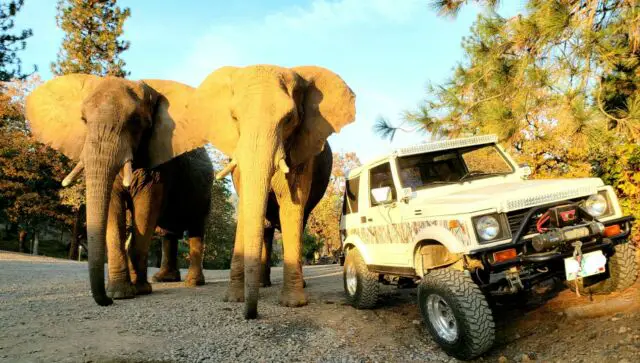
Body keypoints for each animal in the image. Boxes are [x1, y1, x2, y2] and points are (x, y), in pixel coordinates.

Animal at [26, 75, 208, 306]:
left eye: (136, 121)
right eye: (83, 119)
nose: (106, 301)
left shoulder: (158, 161)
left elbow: (145, 208)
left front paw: (138, 290)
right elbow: (113, 208)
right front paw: (120, 293)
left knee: (196, 228)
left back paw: (192, 283)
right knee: (168, 233)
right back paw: (163, 279)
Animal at [186, 64, 356, 318]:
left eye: (289, 119)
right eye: (234, 117)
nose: (251, 315)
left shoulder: (302, 155)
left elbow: (292, 208)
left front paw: (293, 304)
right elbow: (246, 207)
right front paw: (233, 299)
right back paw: (263, 284)